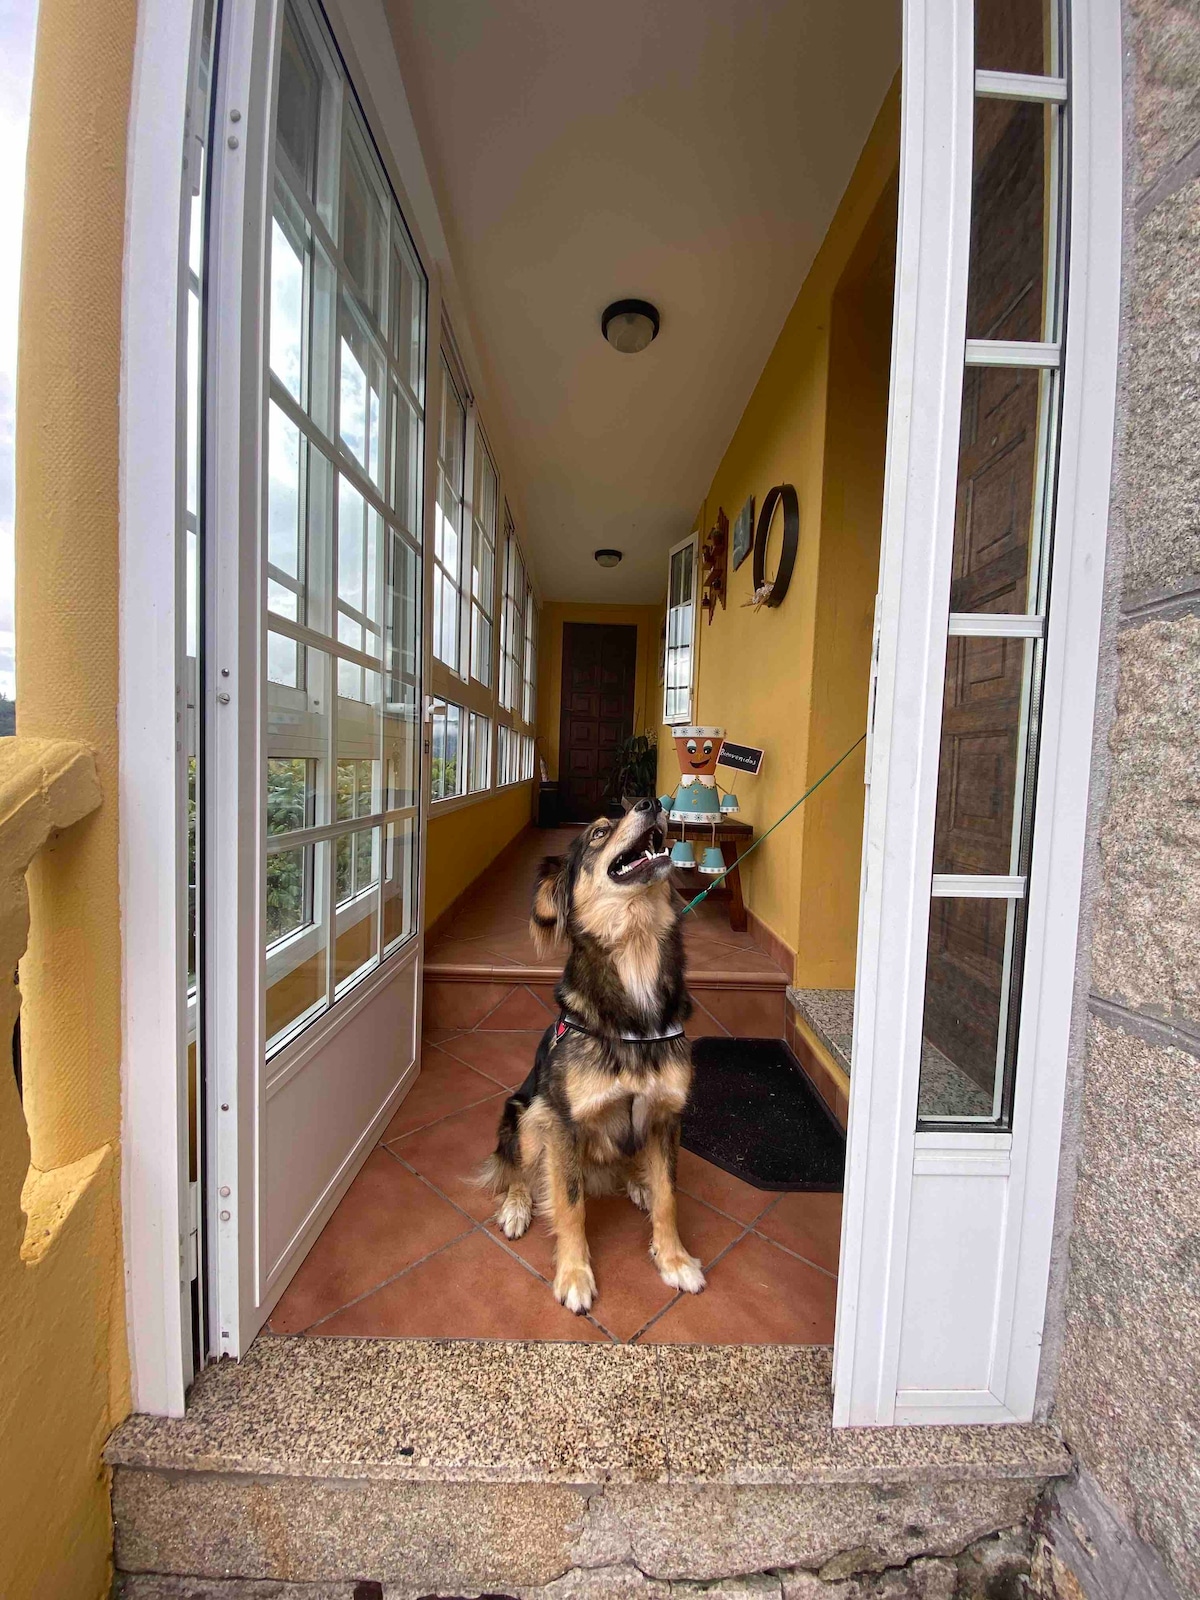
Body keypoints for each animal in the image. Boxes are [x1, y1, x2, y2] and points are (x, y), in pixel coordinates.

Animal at [476, 800, 710, 1312]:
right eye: (600, 832)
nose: (652, 802)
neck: (635, 955)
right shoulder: (563, 1122)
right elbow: (570, 1204)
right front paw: (574, 1274)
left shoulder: (667, 1115)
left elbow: (669, 1197)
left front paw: (674, 1259)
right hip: (528, 1113)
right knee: (520, 1170)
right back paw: (517, 1207)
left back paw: (638, 1180)